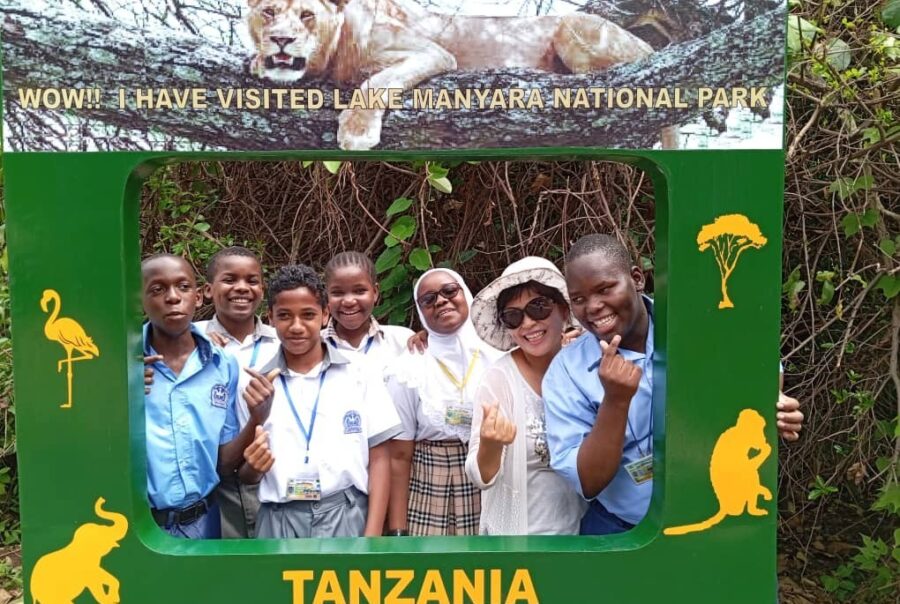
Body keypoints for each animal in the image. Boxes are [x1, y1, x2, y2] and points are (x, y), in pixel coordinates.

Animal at [246, 0, 654, 150]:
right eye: (269, 12)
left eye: (307, 15)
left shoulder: (433, 52)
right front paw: (259, 61)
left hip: (572, 28)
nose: (281, 40)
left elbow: (377, 82)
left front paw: (357, 132)